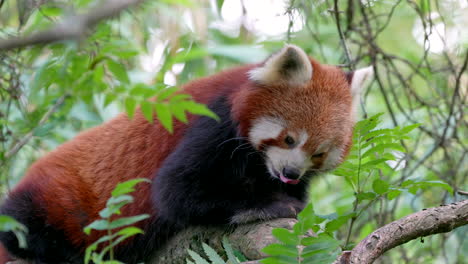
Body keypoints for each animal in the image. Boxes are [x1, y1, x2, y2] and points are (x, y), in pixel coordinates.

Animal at [0, 44, 372, 262]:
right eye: (290, 139)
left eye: (318, 153)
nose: (290, 174)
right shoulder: (214, 125)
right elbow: (175, 191)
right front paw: (269, 205)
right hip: (55, 202)